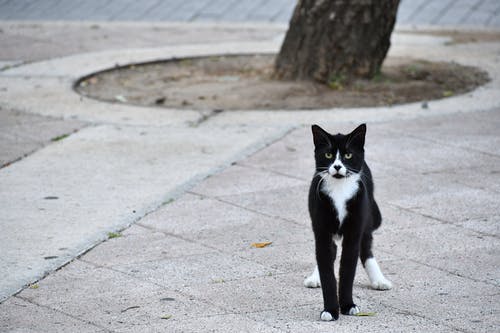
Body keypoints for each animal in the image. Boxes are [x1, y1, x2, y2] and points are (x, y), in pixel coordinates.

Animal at [302, 123, 392, 320]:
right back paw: (315, 277)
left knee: (365, 248)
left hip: (366, 215)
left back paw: (379, 280)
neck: (339, 190)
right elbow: (326, 267)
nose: (337, 166)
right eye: (328, 155)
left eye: (348, 155)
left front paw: (348, 306)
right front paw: (330, 310)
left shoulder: (354, 230)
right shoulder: (321, 230)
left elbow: (348, 269)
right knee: (330, 251)